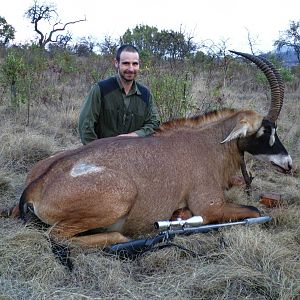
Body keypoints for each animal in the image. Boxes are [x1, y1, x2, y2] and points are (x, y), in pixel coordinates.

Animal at [2, 51, 292, 248]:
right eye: (266, 130)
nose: (289, 163)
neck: (208, 144)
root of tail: (37, 185)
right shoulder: (209, 207)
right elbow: (255, 211)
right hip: (121, 195)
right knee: (57, 236)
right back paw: (120, 237)